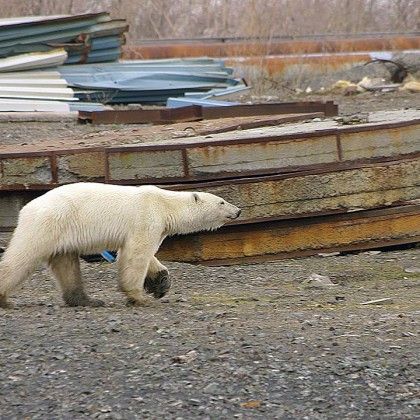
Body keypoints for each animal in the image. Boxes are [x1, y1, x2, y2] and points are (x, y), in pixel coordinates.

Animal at [0, 182, 241, 306]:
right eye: (221, 201)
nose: (238, 210)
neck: (165, 204)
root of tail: (26, 208)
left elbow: (144, 255)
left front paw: (161, 283)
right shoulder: (146, 217)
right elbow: (137, 253)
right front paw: (139, 297)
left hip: (62, 233)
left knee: (66, 263)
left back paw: (86, 300)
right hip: (49, 223)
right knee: (23, 255)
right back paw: (3, 298)